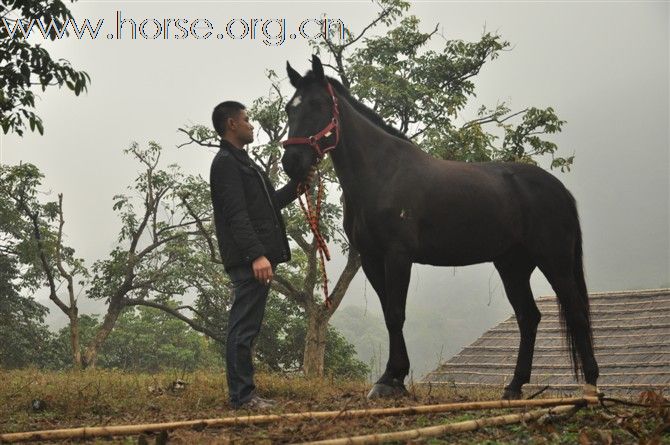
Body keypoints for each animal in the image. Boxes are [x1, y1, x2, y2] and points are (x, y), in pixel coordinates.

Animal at [280, 53, 600, 398]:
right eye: (289, 108)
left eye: (317, 104)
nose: (291, 162)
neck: (382, 173)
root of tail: (560, 190)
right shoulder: (371, 259)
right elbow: (389, 312)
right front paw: (391, 377)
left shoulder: (397, 255)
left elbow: (396, 313)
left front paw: (392, 379)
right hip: (512, 266)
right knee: (528, 318)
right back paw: (514, 387)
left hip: (554, 260)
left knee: (577, 312)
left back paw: (591, 384)